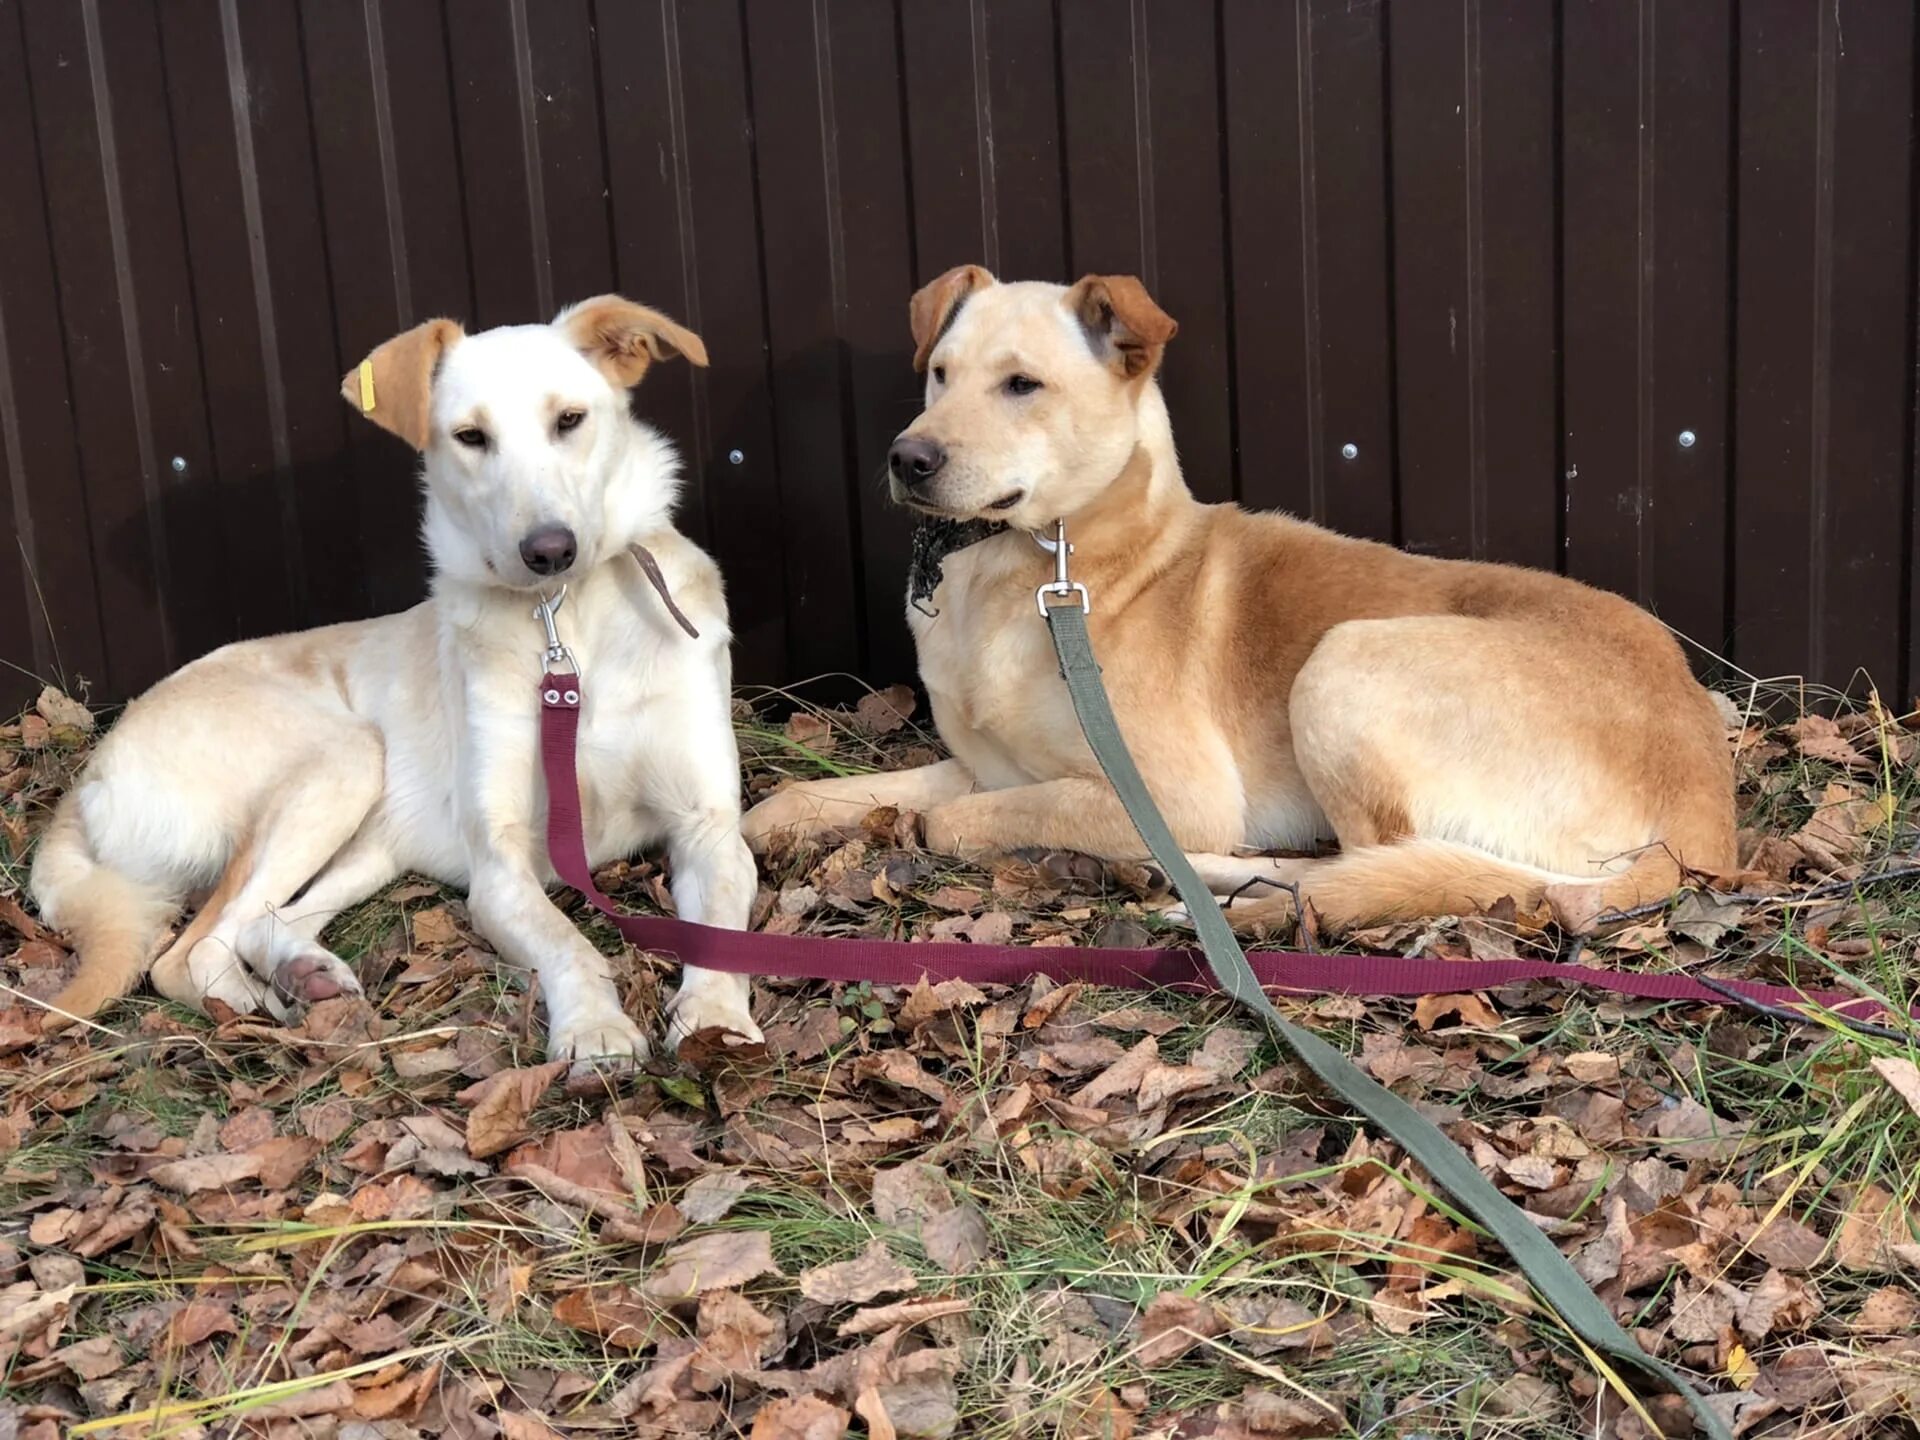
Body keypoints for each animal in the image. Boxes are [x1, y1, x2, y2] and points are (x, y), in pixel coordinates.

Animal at [30, 299, 760, 1067]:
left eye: (569, 419)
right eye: (470, 437)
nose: (549, 551)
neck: (568, 623)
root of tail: (90, 773)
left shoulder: (709, 827)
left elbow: (721, 933)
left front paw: (715, 1022)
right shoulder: (500, 866)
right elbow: (569, 945)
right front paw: (593, 1028)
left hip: (377, 837)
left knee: (268, 919)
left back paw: (305, 972)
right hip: (345, 759)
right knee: (189, 952)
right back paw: (256, 1010)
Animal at [741, 268, 1735, 936]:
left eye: (1023, 384)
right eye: (940, 373)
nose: (907, 458)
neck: (1046, 570)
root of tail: (1705, 828)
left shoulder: (1161, 789)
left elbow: (952, 821)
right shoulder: (993, 764)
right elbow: (819, 796)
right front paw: (778, 827)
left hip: (1345, 665)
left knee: (1365, 860)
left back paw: (1219, 879)